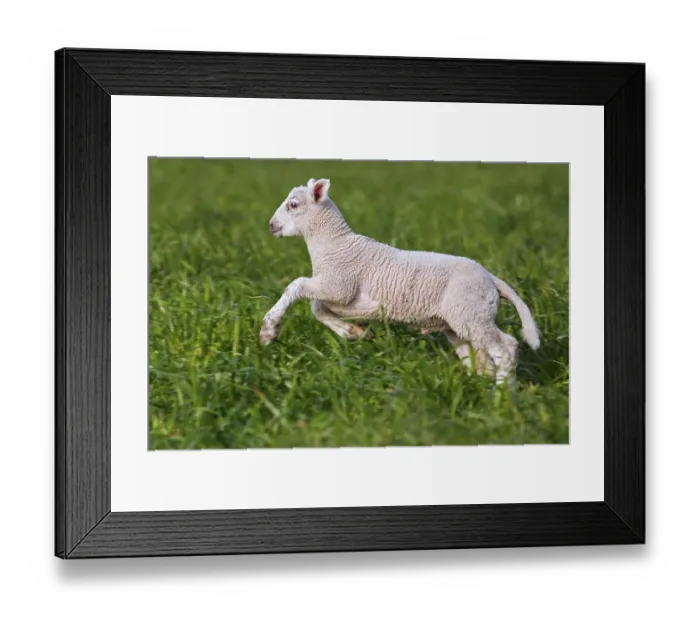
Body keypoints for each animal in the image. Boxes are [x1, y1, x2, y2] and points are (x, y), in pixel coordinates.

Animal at [260, 177, 541, 384]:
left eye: (293, 205)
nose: (271, 225)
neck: (335, 245)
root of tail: (492, 278)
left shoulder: (339, 285)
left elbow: (297, 286)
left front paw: (268, 330)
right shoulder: (344, 296)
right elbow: (316, 307)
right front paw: (354, 332)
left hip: (472, 312)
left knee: (507, 347)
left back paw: (502, 397)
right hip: (461, 322)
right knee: (480, 360)